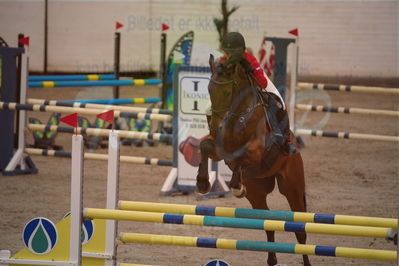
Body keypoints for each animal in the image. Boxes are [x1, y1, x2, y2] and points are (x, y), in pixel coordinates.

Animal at [197, 54, 312, 266]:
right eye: (208, 89)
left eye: (227, 92)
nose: (216, 126)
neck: (237, 116)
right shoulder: (219, 150)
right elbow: (205, 146)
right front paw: (202, 184)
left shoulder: (257, 150)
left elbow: (243, 156)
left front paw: (236, 185)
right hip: (257, 192)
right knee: (267, 222)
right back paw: (272, 259)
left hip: (292, 187)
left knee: (300, 232)